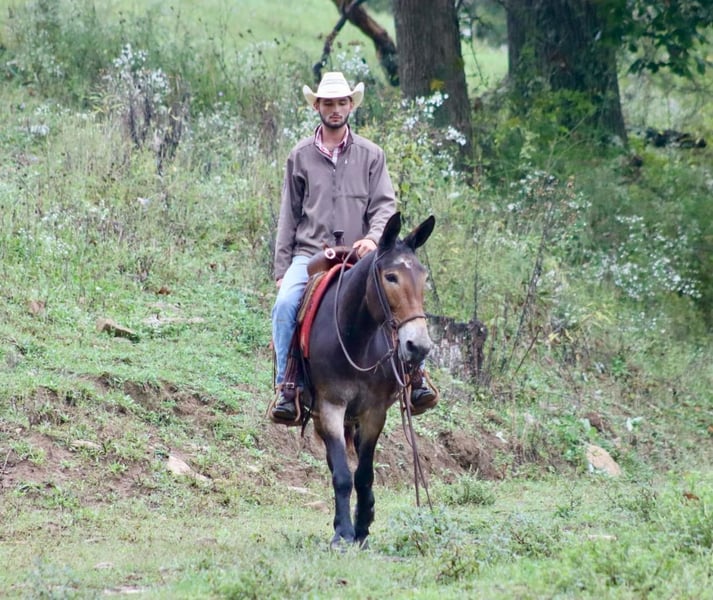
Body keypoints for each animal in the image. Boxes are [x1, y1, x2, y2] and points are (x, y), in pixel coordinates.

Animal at [303, 211, 435, 549]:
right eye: (391, 277)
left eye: (423, 278)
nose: (418, 346)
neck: (355, 339)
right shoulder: (331, 406)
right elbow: (342, 474)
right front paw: (343, 533)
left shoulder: (374, 411)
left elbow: (364, 474)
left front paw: (362, 528)